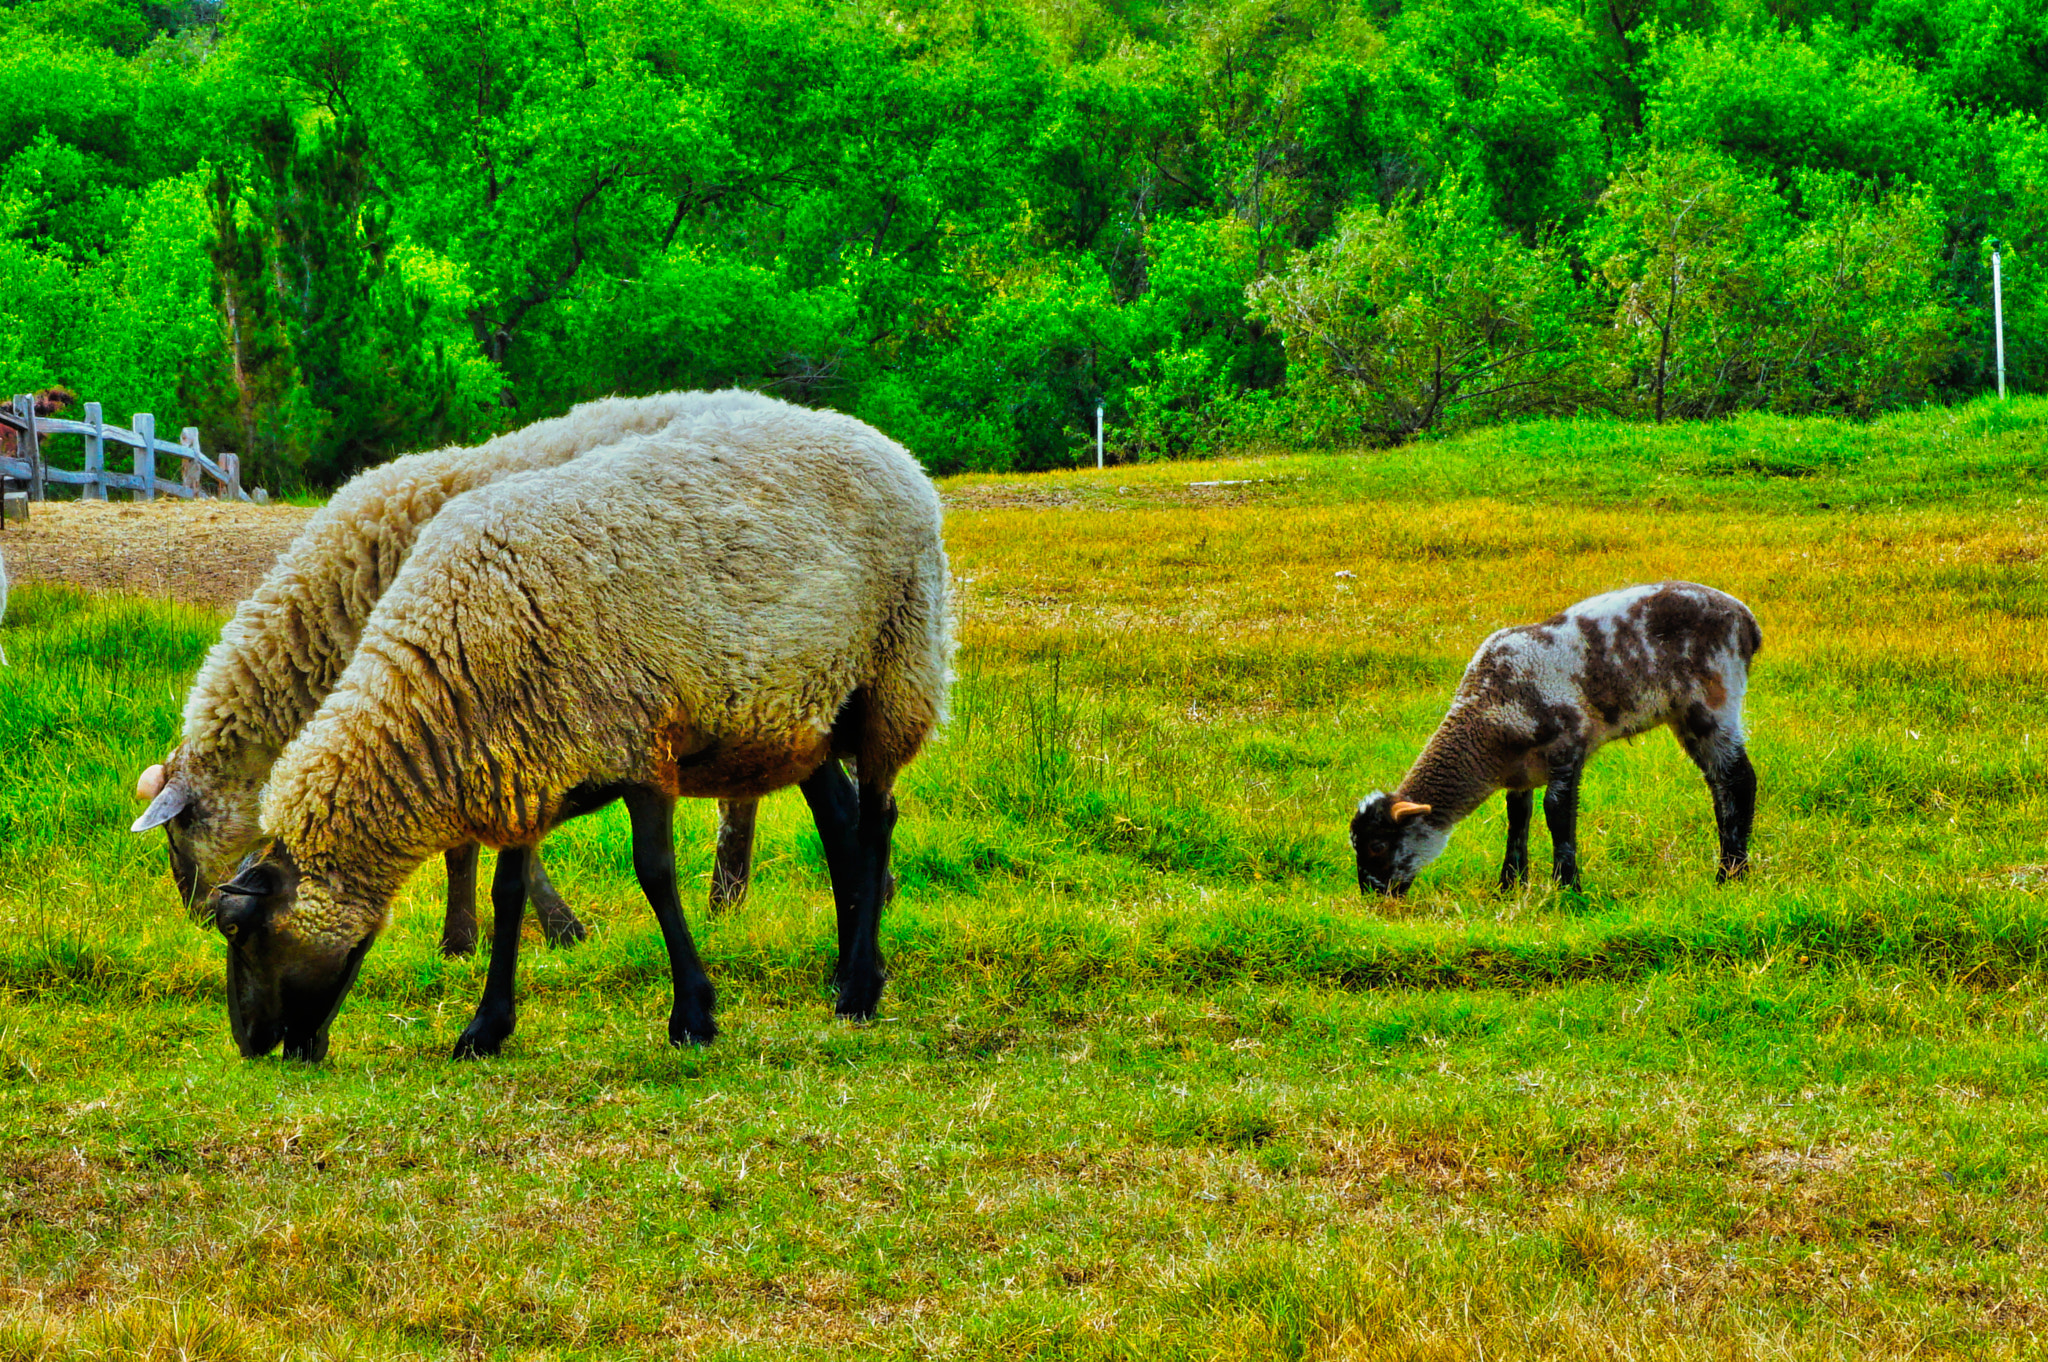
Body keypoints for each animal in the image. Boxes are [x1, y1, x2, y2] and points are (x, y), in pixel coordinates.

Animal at [132, 390, 777, 952]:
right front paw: (483, 934)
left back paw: (726, 899)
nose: (199, 914)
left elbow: (477, 846)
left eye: (177, 829)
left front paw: (520, 932)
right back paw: (727, 903)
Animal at [205, 398, 950, 1062]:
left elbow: (654, 874)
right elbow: (507, 895)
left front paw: (693, 1015)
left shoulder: (642, 745)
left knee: (876, 820)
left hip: (895, 672)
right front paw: (486, 1028)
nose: (250, 1046)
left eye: (238, 932)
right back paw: (845, 971)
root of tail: (882, 442)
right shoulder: (520, 766)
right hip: (803, 717)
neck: (449, 662)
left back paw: (859, 988)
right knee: (840, 823)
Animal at [1350, 581, 1759, 896]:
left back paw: (1730, 875)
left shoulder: (1567, 750)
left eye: (1378, 844)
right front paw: (1510, 887)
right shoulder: (1520, 771)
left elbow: (1557, 813)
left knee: (1738, 779)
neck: (1485, 712)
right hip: (1686, 714)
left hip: (1713, 699)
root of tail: (1745, 619)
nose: (1371, 893)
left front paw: (1566, 887)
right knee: (1719, 784)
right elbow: (1517, 819)